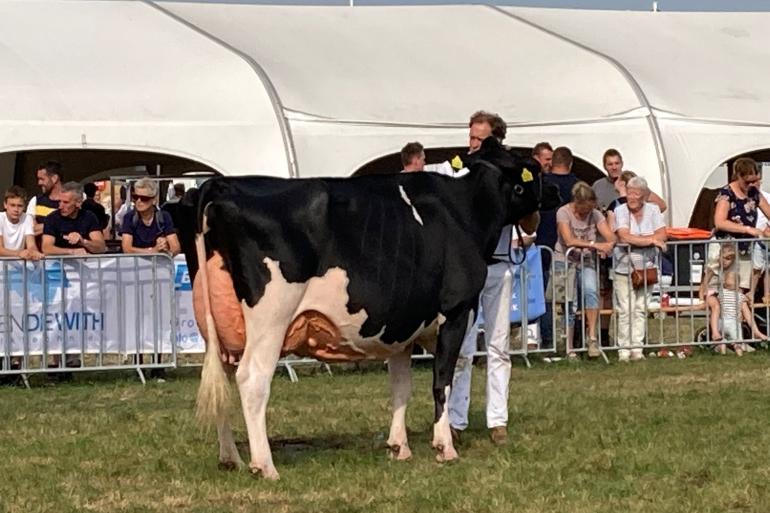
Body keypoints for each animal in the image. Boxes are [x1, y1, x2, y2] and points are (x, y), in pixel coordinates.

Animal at [186, 135, 560, 476]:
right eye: (535, 167)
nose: (557, 190)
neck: (464, 208)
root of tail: (220, 185)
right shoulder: (457, 311)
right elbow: (442, 379)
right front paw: (445, 447)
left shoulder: (402, 325)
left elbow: (401, 385)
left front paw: (399, 447)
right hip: (271, 317)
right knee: (252, 378)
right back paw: (264, 465)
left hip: (216, 325)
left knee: (223, 379)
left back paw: (230, 458)